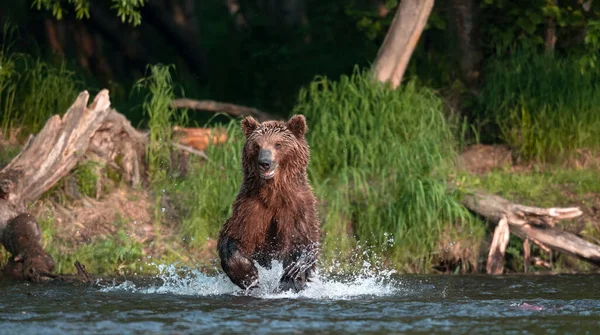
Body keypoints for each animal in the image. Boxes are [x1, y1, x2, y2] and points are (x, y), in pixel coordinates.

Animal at [218, 114, 322, 292]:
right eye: (256, 145)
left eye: (278, 144)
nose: (264, 163)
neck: (273, 192)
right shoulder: (250, 207)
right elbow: (234, 238)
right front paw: (249, 275)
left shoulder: (297, 207)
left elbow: (301, 242)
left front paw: (291, 277)